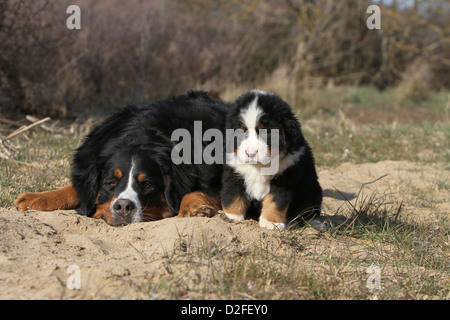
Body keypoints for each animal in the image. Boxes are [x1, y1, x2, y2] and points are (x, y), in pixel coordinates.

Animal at [15, 90, 227, 225]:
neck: (143, 137)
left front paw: (194, 205)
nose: (124, 206)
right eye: (110, 183)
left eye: (147, 185)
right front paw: (37, 197)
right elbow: (75, 188)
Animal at [220, 90, 322, 230]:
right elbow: (234, 195)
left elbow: (275, 201)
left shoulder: (285, 177)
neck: (259, 166)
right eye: (241, 130)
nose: (250, 153)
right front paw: (232, 217)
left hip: (312, 189)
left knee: (310, 209)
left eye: (265, 132)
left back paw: (316, 224)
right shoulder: (234, 172)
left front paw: (271, 223)